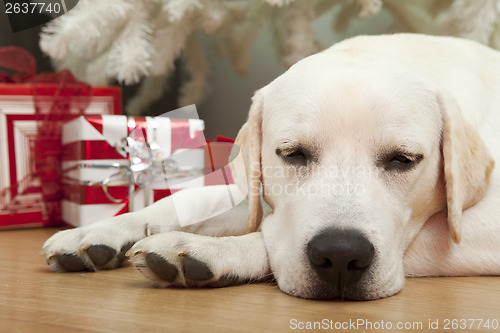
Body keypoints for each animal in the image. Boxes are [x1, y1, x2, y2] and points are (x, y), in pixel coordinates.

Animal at [40, 33, 500, 298]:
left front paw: (210, 250)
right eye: (293, 154)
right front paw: (103, 229)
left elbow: (267, 238)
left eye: (403, 160)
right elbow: (189, 202)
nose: (340, 256)